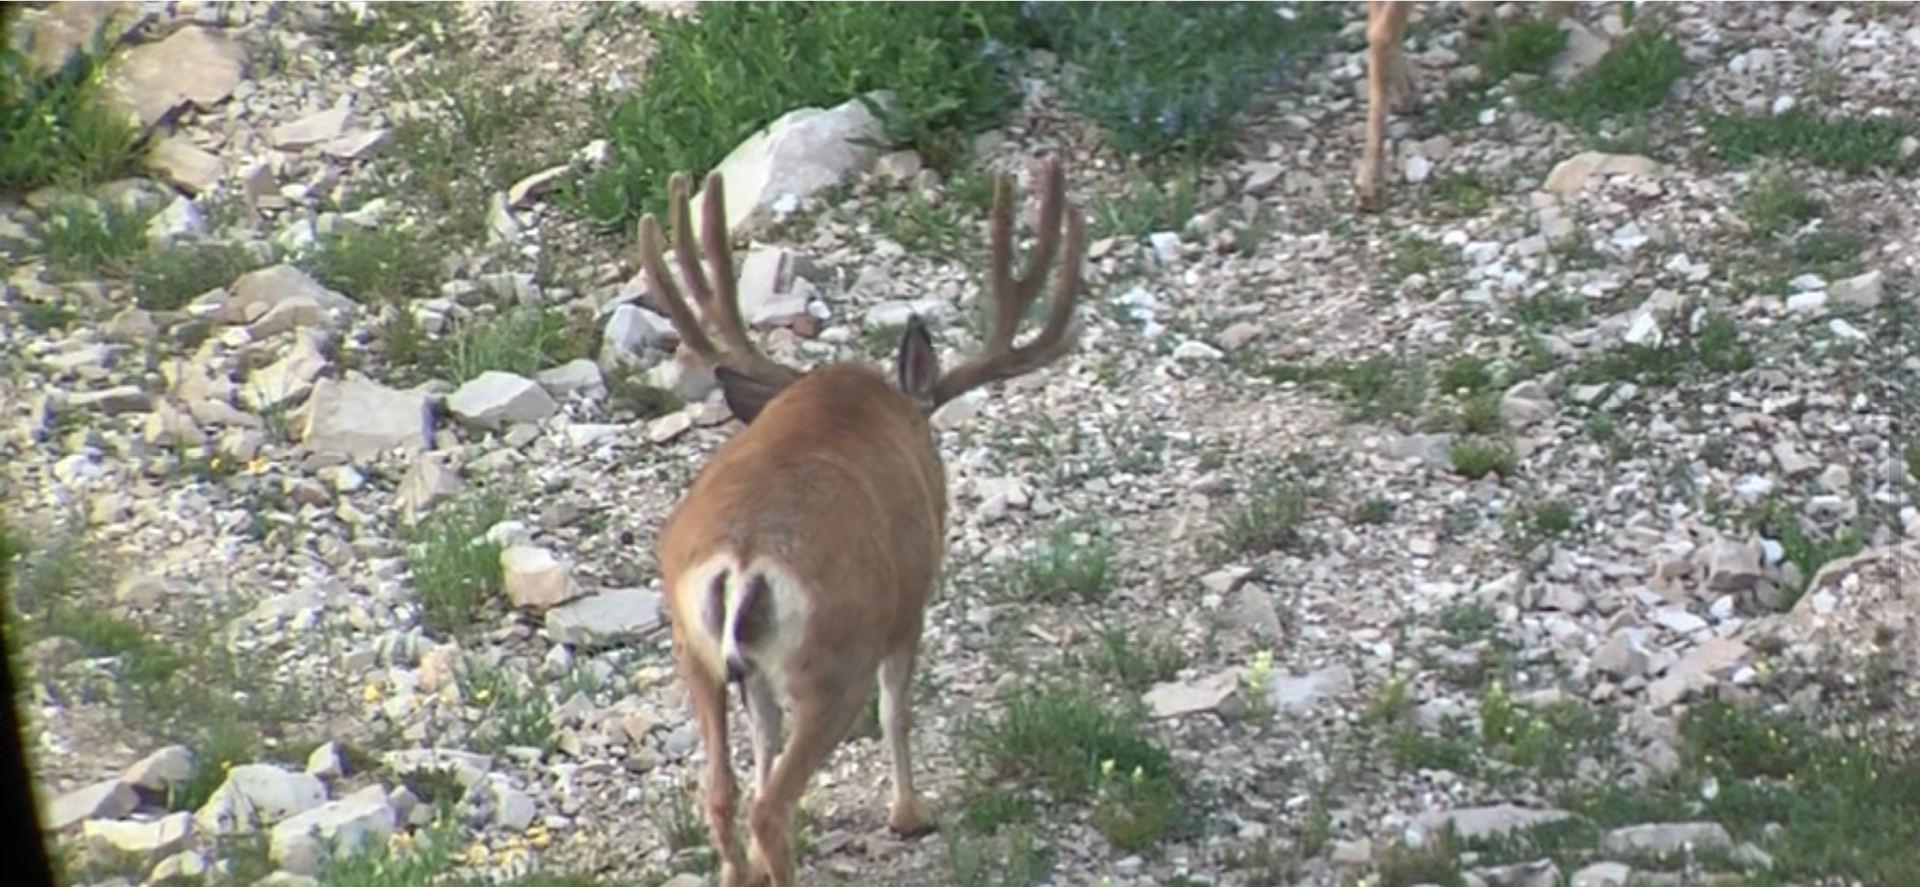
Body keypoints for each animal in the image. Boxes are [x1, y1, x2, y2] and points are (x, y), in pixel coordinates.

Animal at [639, 158, 1087, 887]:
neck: (848, 401)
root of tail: (743, 556)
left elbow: (762, 737)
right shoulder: (908, 603)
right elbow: (897, 707)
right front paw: (909, 813)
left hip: (695, 649)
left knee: (723, 792)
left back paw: (743, 868)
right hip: (834, 660)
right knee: (773, 803)